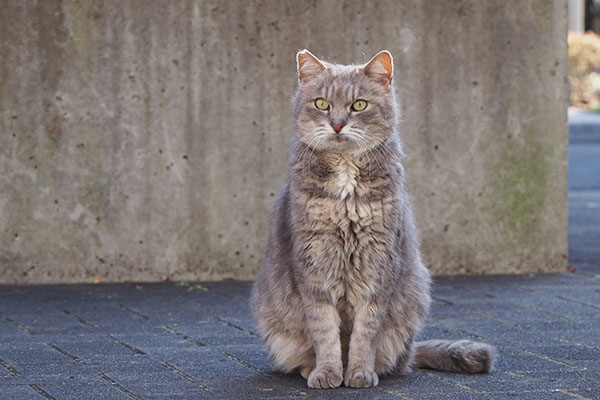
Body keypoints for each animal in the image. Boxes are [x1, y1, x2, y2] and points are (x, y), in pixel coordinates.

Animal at [251, 49, 494, 388]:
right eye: (322, 103)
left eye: (359, 105)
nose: (337, 124)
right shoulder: (313, 267)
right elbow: (324, 330)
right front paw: (328, 373)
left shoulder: (378, 266)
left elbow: (365, 333)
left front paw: (359, 373)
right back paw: (310, 368)